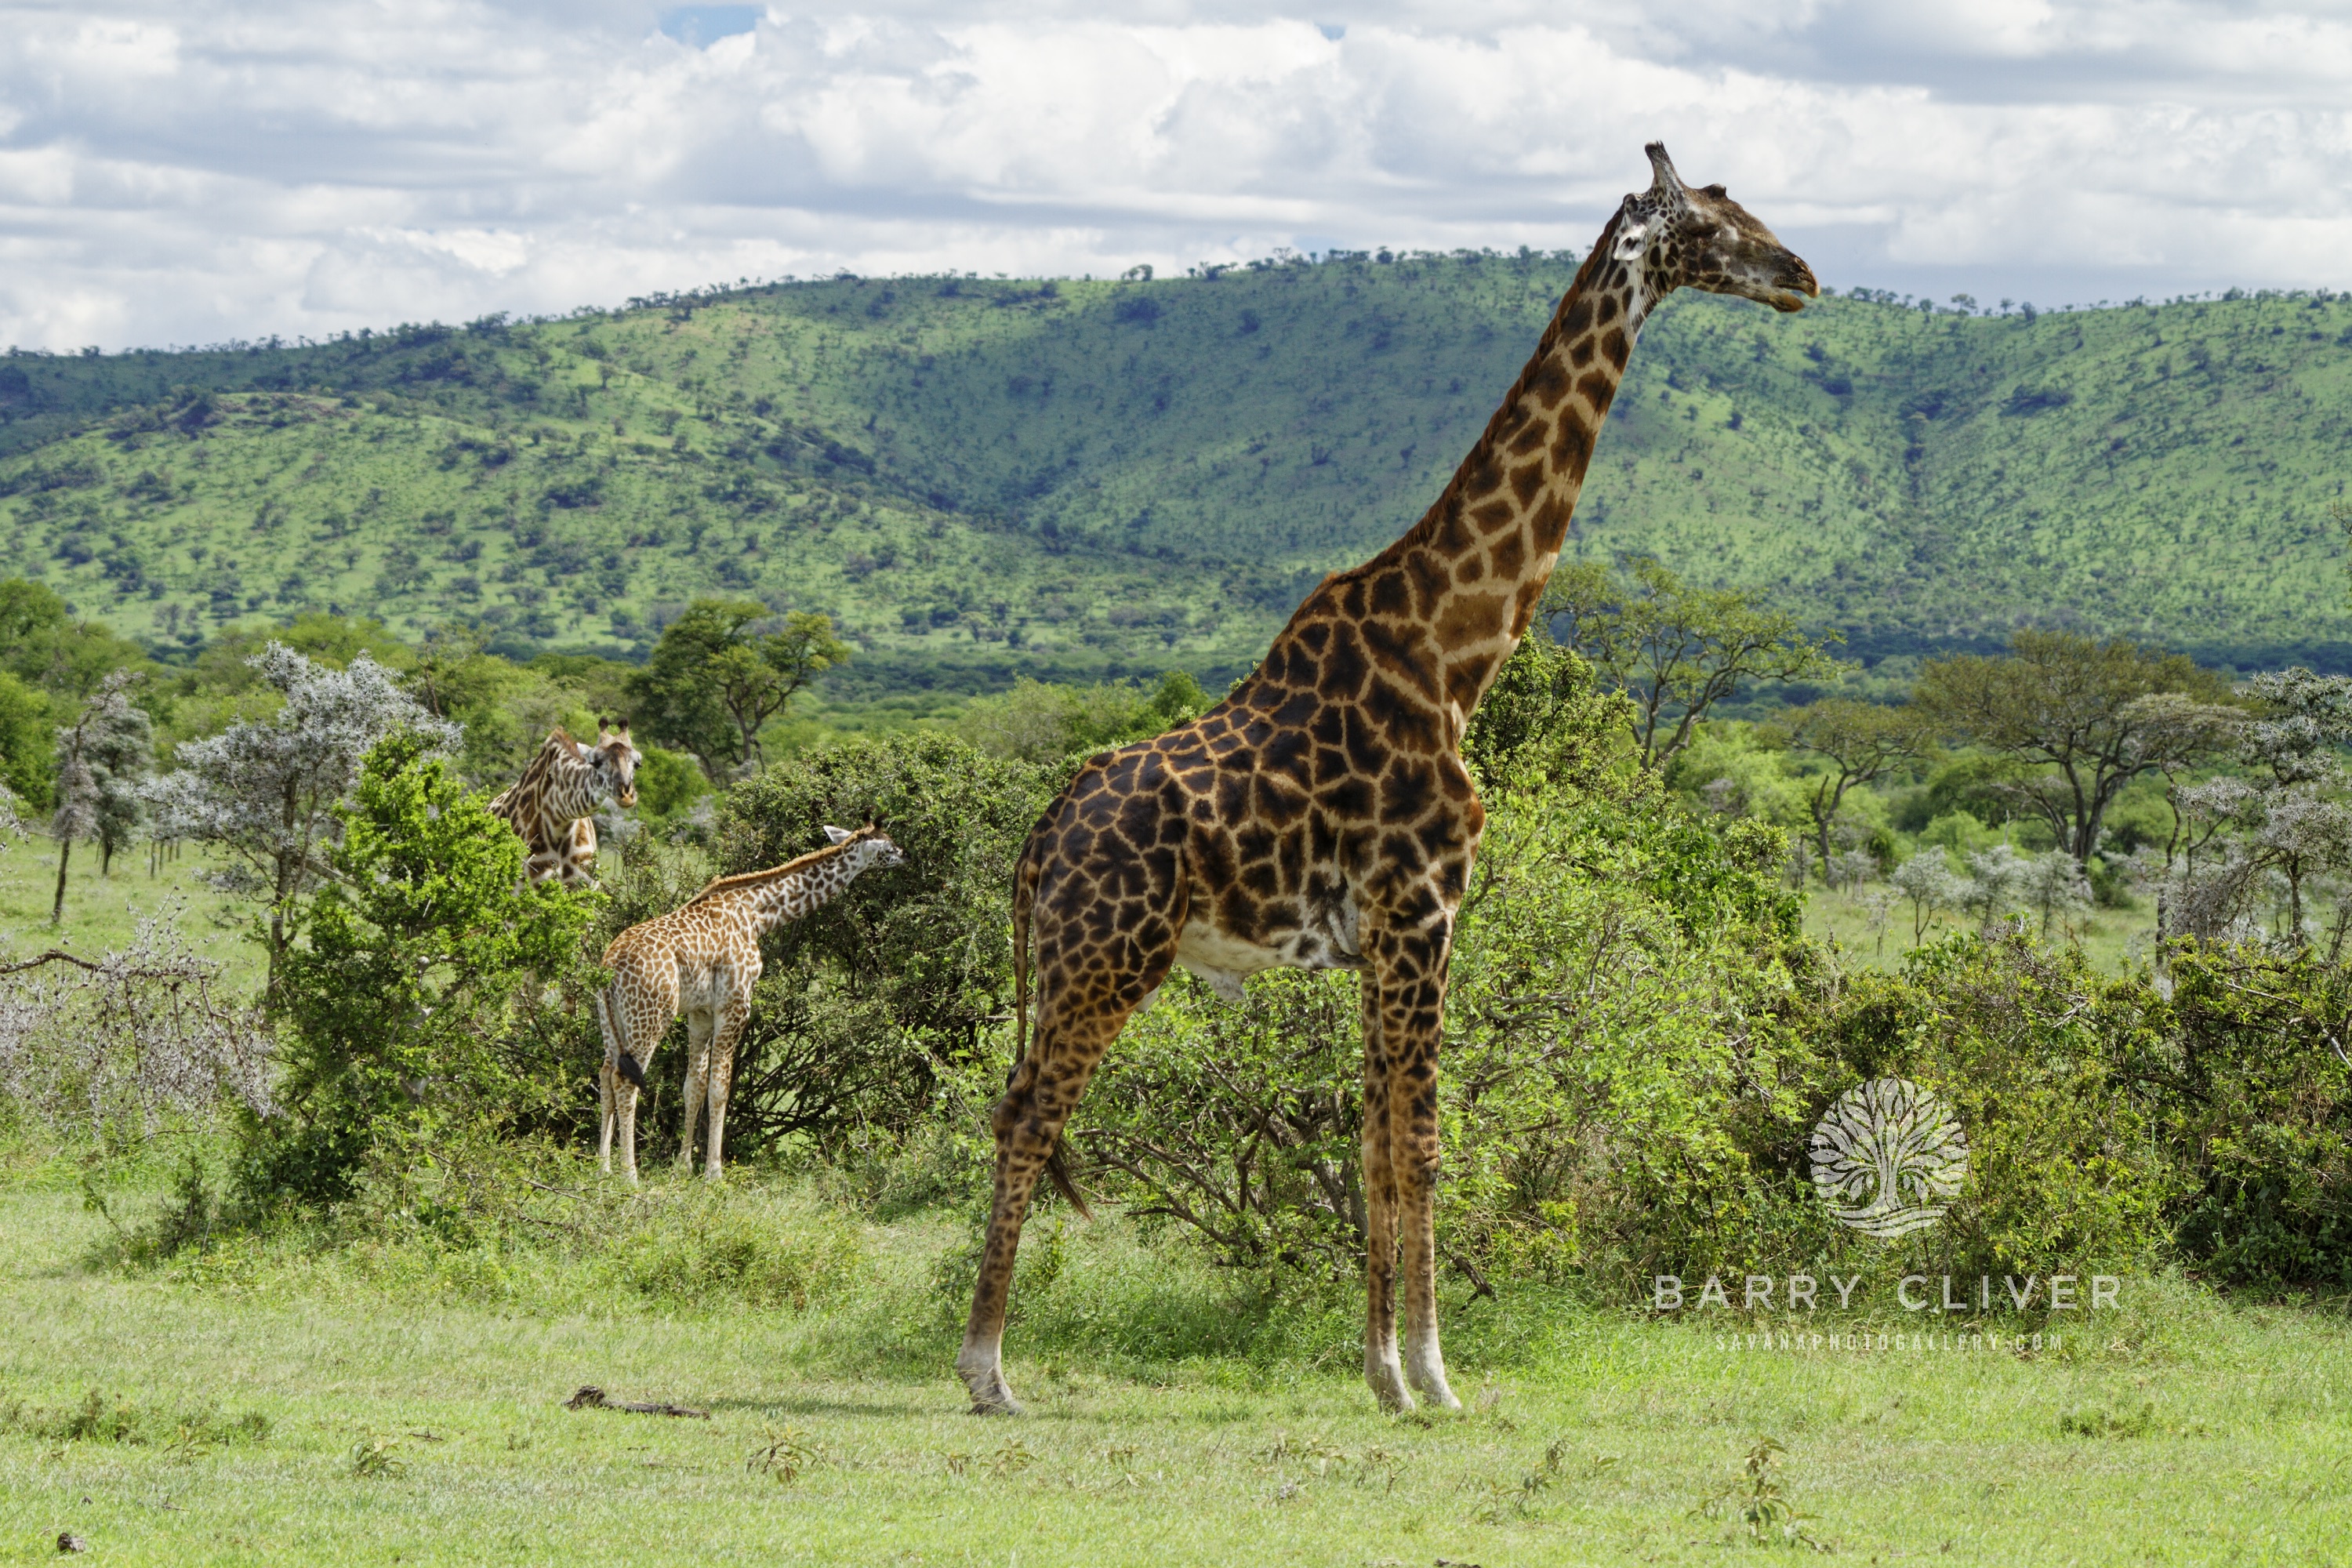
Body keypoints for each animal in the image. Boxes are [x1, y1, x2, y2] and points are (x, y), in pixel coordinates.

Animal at [595, 823, 907, 1181]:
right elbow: (720, 1087)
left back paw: (602, 1167)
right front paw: (714, 1172)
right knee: (625, 1080)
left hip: (611, 1020)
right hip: (651, 1016)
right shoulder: (735, 1003)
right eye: (889, 846)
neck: (757, 912)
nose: (907, 855)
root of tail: (609, 965)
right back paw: (629, 1175)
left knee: (606, 1075)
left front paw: (684, 1167)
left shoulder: (700, 1012)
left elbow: (694, 1085)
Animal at [958, 143, 1817, 1417]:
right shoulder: (1426, 910)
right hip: (1107, 955)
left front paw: (1383, 1375)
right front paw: (1438, 1376)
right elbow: (1422, 1141)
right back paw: (988, 1370)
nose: (1802, 274)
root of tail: (1039, 837)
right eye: (1712, 224)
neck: (1455, 652)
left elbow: (1368, 1140)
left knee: (1020, 1103)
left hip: (1087, 958)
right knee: (1026, 1110)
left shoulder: (1377, 937)